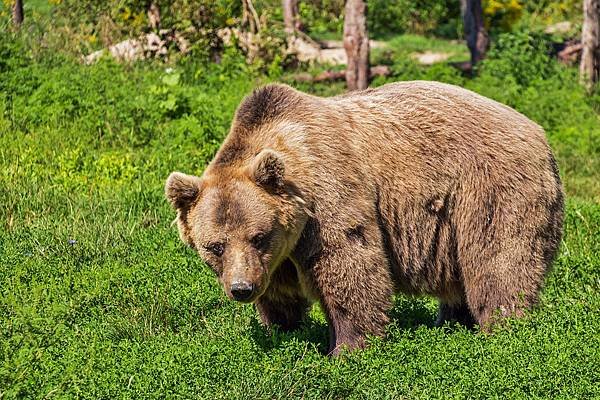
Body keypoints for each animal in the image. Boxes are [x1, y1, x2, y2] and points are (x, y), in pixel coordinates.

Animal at [164, 80, 564, 354]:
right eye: (214, 246)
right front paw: (282, 330)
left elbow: (350, 267)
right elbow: (280, 294)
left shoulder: (328, 198)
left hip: (490, 189)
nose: (241, 288)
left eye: (258, 236)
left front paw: (347, 348)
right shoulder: (278, 256)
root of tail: (539, 133)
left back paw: (503, 329)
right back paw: (451, 322)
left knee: (498, 262)